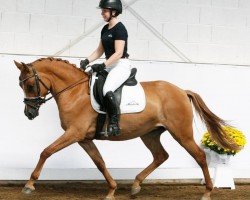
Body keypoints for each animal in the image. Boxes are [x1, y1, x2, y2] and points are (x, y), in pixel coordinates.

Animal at [15, 57, 238, 200]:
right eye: (21, 86)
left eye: (30, 86)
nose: (29, 113)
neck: (75, 92)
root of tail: (182, 91)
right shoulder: (83, 138)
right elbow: (99, 162)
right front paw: (112, 190)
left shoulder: (74, 133)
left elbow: (46, 151)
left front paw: (29, 185)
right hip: (149, 134)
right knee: (161, 156)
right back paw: (136, 185)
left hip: (181, 133)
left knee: (199, 156)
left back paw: (207, 192)